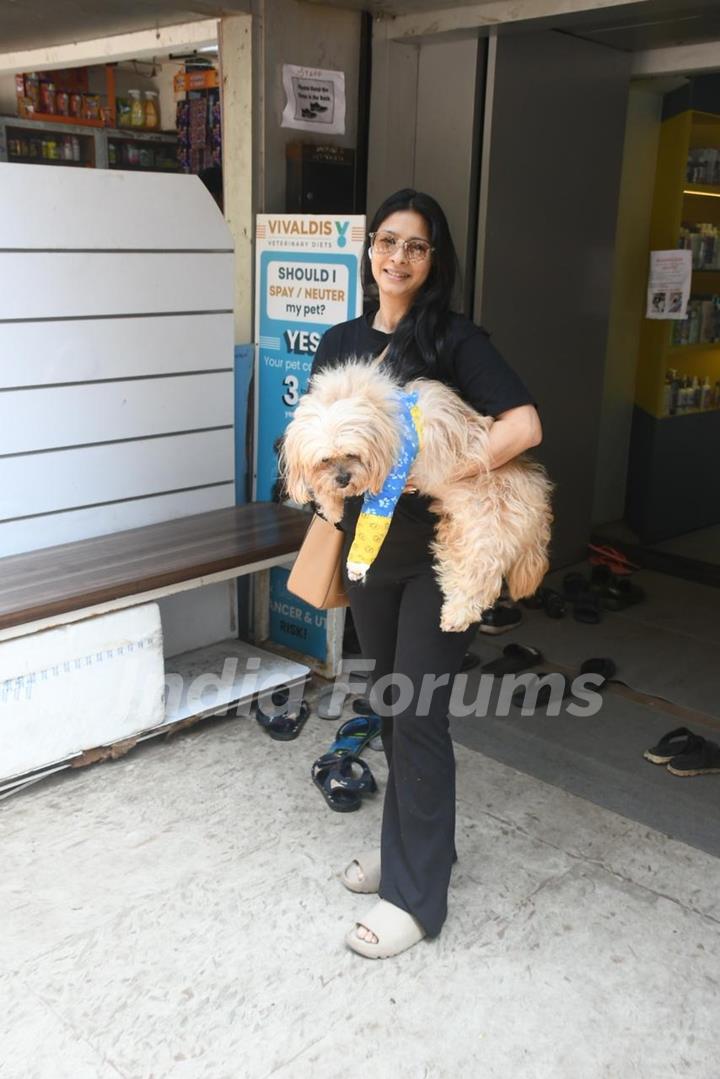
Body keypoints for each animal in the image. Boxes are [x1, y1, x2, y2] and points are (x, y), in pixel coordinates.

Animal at [278, 362, 557, 630]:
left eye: (352, 455)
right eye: (324, 460)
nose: (343, 479)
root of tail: (536, 494)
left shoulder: (389, 484)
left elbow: (371, 528)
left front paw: (357, 565)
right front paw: (332, 506)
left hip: (485, 534)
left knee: (481, 578)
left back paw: (457, 616)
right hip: (456, 532)